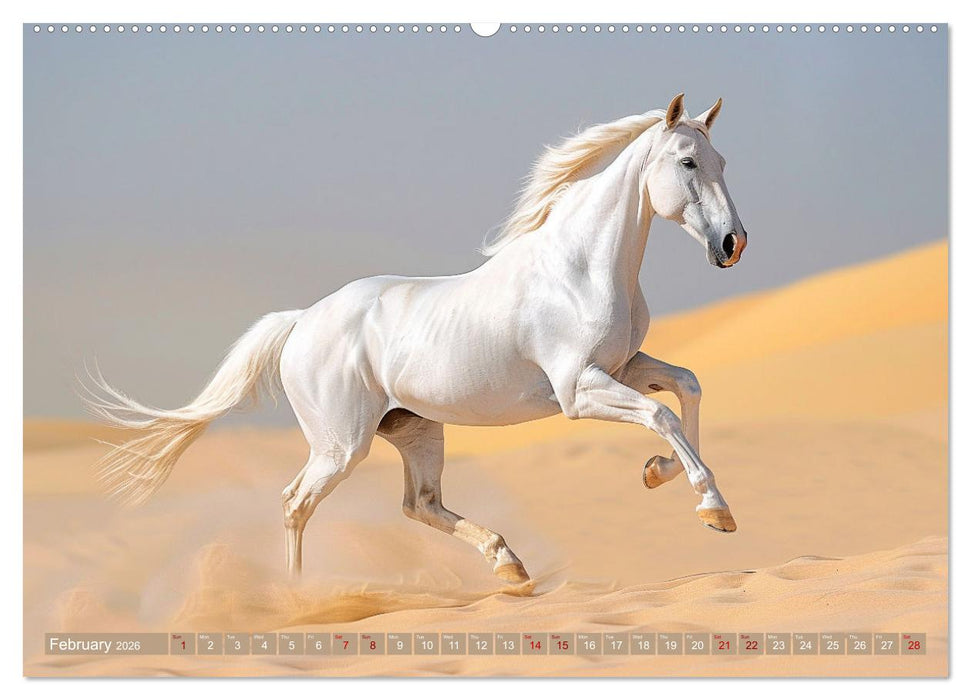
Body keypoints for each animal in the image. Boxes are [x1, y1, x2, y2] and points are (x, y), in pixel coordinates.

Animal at [84, 94, 748, 584]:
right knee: (297, 503)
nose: (732, 244)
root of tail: (302, 320)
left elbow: (686, 388)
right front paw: (714, 510)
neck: (579, 267)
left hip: (415, 429)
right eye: (687, 163)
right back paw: (296, 599)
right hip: (341, 446)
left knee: (419, 504)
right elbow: (662, 414)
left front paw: (658, 473)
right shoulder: (578, 390)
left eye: (721, 162)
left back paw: (510, 566)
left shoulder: (625, 366)